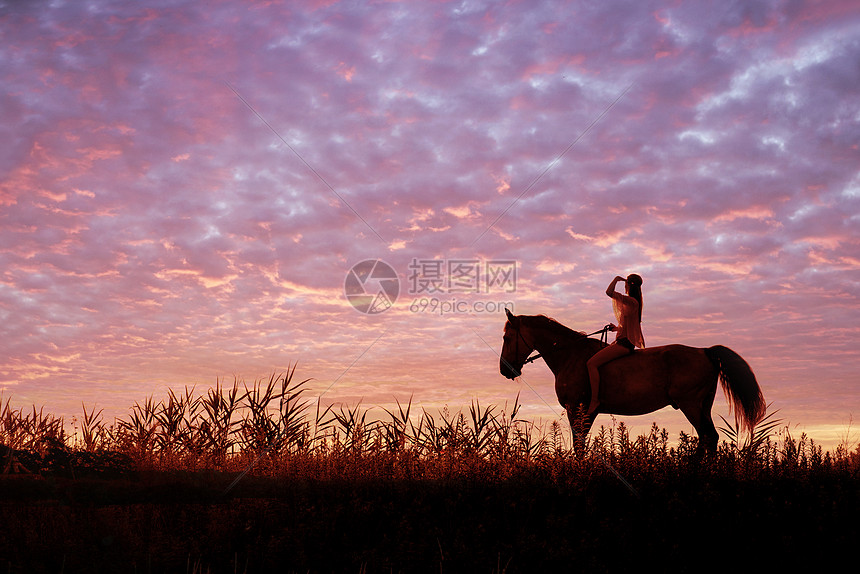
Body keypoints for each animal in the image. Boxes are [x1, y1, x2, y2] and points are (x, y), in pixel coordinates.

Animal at [498, 312, 764, 456]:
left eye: (506, 337)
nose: (504, 369)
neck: (570, 355)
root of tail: (705, 351)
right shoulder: (587, 412)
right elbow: (581, 443)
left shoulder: (577, 408)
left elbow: (578, 445)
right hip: (702, 406)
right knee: (709, 438)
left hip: (691, 405)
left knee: (707, 437)